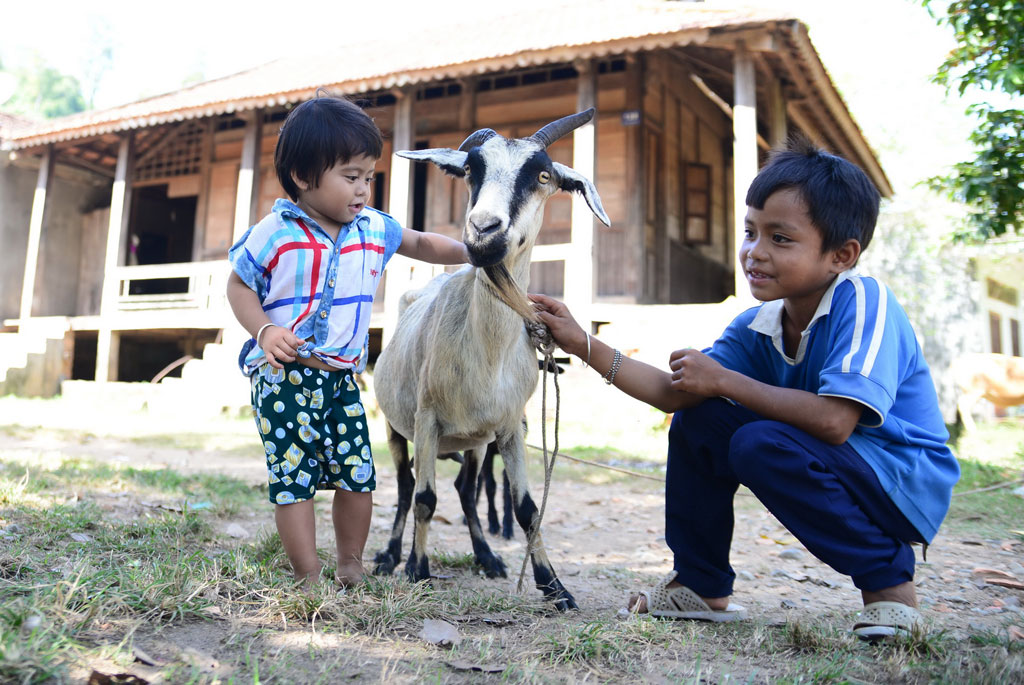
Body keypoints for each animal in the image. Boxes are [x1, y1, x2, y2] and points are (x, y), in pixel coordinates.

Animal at [372, 108, 606, 610]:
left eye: (542, 175)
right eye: (470, 171)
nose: (483, 230)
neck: (487, 355)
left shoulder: (510, 427)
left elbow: (527, 508)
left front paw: (554, 586)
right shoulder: (426, 419)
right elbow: (424, 499)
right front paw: (417, 570)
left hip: (475, 443)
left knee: (465, 490)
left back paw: (487, 557)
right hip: (396, 426)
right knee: (405, 488)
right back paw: (390, 555)